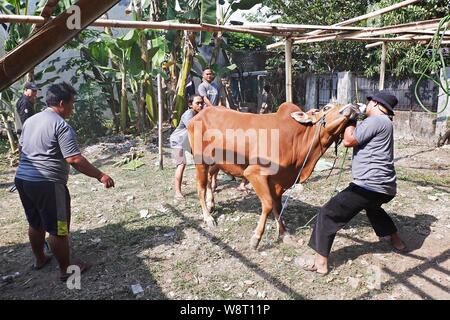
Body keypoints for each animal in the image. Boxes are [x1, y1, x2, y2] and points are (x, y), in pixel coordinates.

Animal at [186, 101, 358, 249]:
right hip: (200, 160)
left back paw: (211, 204)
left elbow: (277, 206)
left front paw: (284, 233)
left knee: (211, 180)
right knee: (200, 188)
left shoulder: (279, 181)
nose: (353, 107)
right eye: (326, 107)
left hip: (215, 162)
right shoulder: (254, 173)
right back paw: (208, 217)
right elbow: (268, 204)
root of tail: (198, 115)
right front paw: (256, 238)